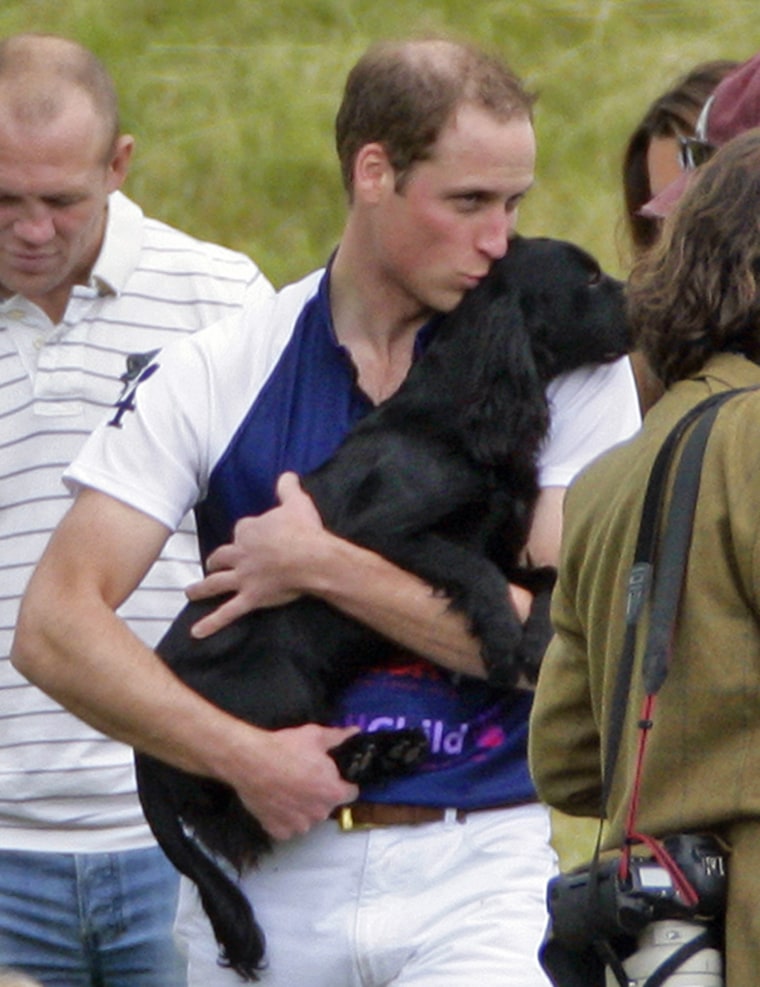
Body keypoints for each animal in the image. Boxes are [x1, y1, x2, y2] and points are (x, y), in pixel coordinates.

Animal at [135, 237, 628, 980]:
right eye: (591, 279)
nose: (644, 301)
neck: (454, 420)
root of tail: (141, 752)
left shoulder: (507, 544)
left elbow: (543, 578)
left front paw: (532, 639)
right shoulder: (380, 535)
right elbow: (474, 570)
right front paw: (500, 638)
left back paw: (388, 748)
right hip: (278, 681)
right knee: (257, 792)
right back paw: (374, 751)